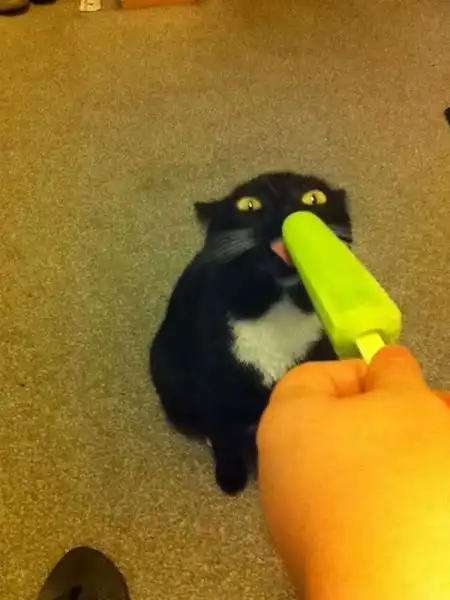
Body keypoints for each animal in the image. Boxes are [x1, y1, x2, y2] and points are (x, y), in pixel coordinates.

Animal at [150, 172, 352, 495]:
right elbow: (222, 436)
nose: (286, 208)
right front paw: (231, 478)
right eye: (249, 204)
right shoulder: (213, 383)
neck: (277, 305)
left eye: (314, 197)